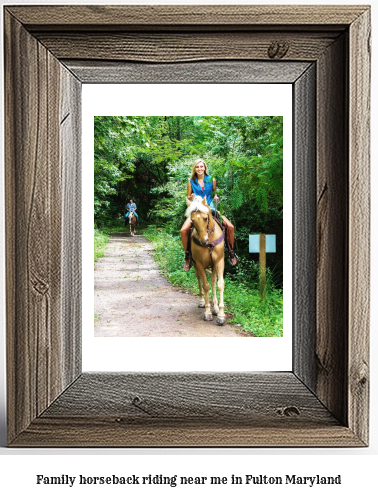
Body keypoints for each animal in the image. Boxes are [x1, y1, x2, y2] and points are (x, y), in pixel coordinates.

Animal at [185, 197, 226, 326]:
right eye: (192, 221)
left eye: (205, 218)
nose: (204, 241)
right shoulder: (200, 264)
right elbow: (205, 285)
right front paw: (208, 312)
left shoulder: (219, 261)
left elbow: (219, 284)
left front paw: (220, 314)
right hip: (195, 265)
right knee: (199, 279)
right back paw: (202, 301)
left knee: (213, 281)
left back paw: (215, 308)